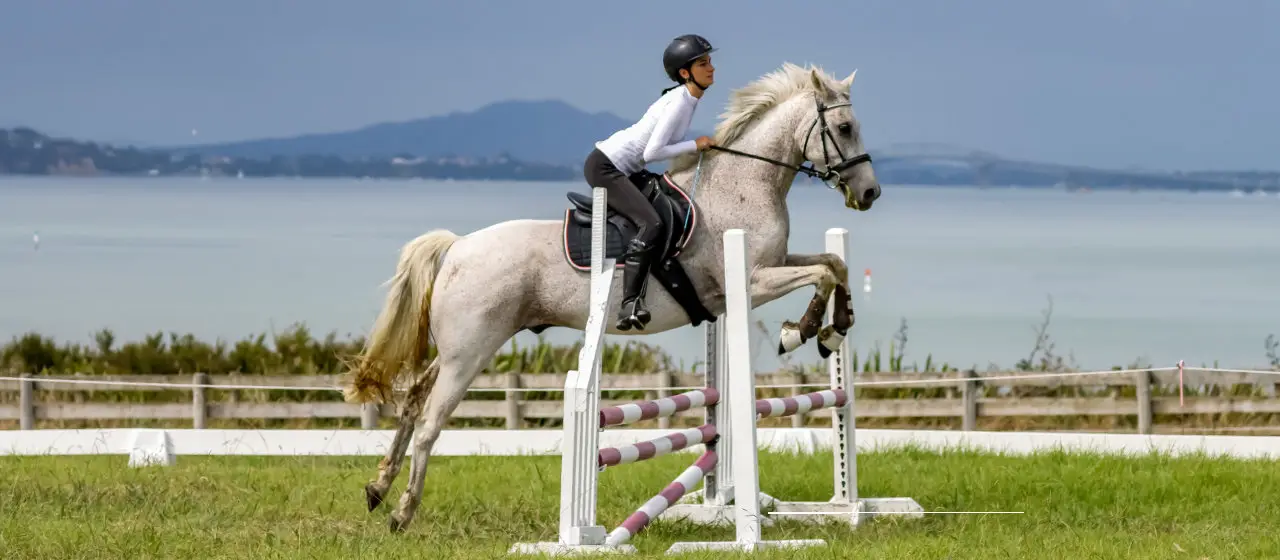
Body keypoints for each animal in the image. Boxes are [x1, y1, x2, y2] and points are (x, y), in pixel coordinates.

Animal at [342, 62, 883, 533]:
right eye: (845, 127)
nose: (870, 193)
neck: (743, 186)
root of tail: (457, 246)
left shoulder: (772, 264)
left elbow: (834, 265)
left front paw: (835, 329)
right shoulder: (749, 280)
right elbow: (821, 273)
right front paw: (803, 332)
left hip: (458, 346)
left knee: (413, 400)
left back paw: (377, 488)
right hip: (470, 351)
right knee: (431, 421)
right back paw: (402, 513)